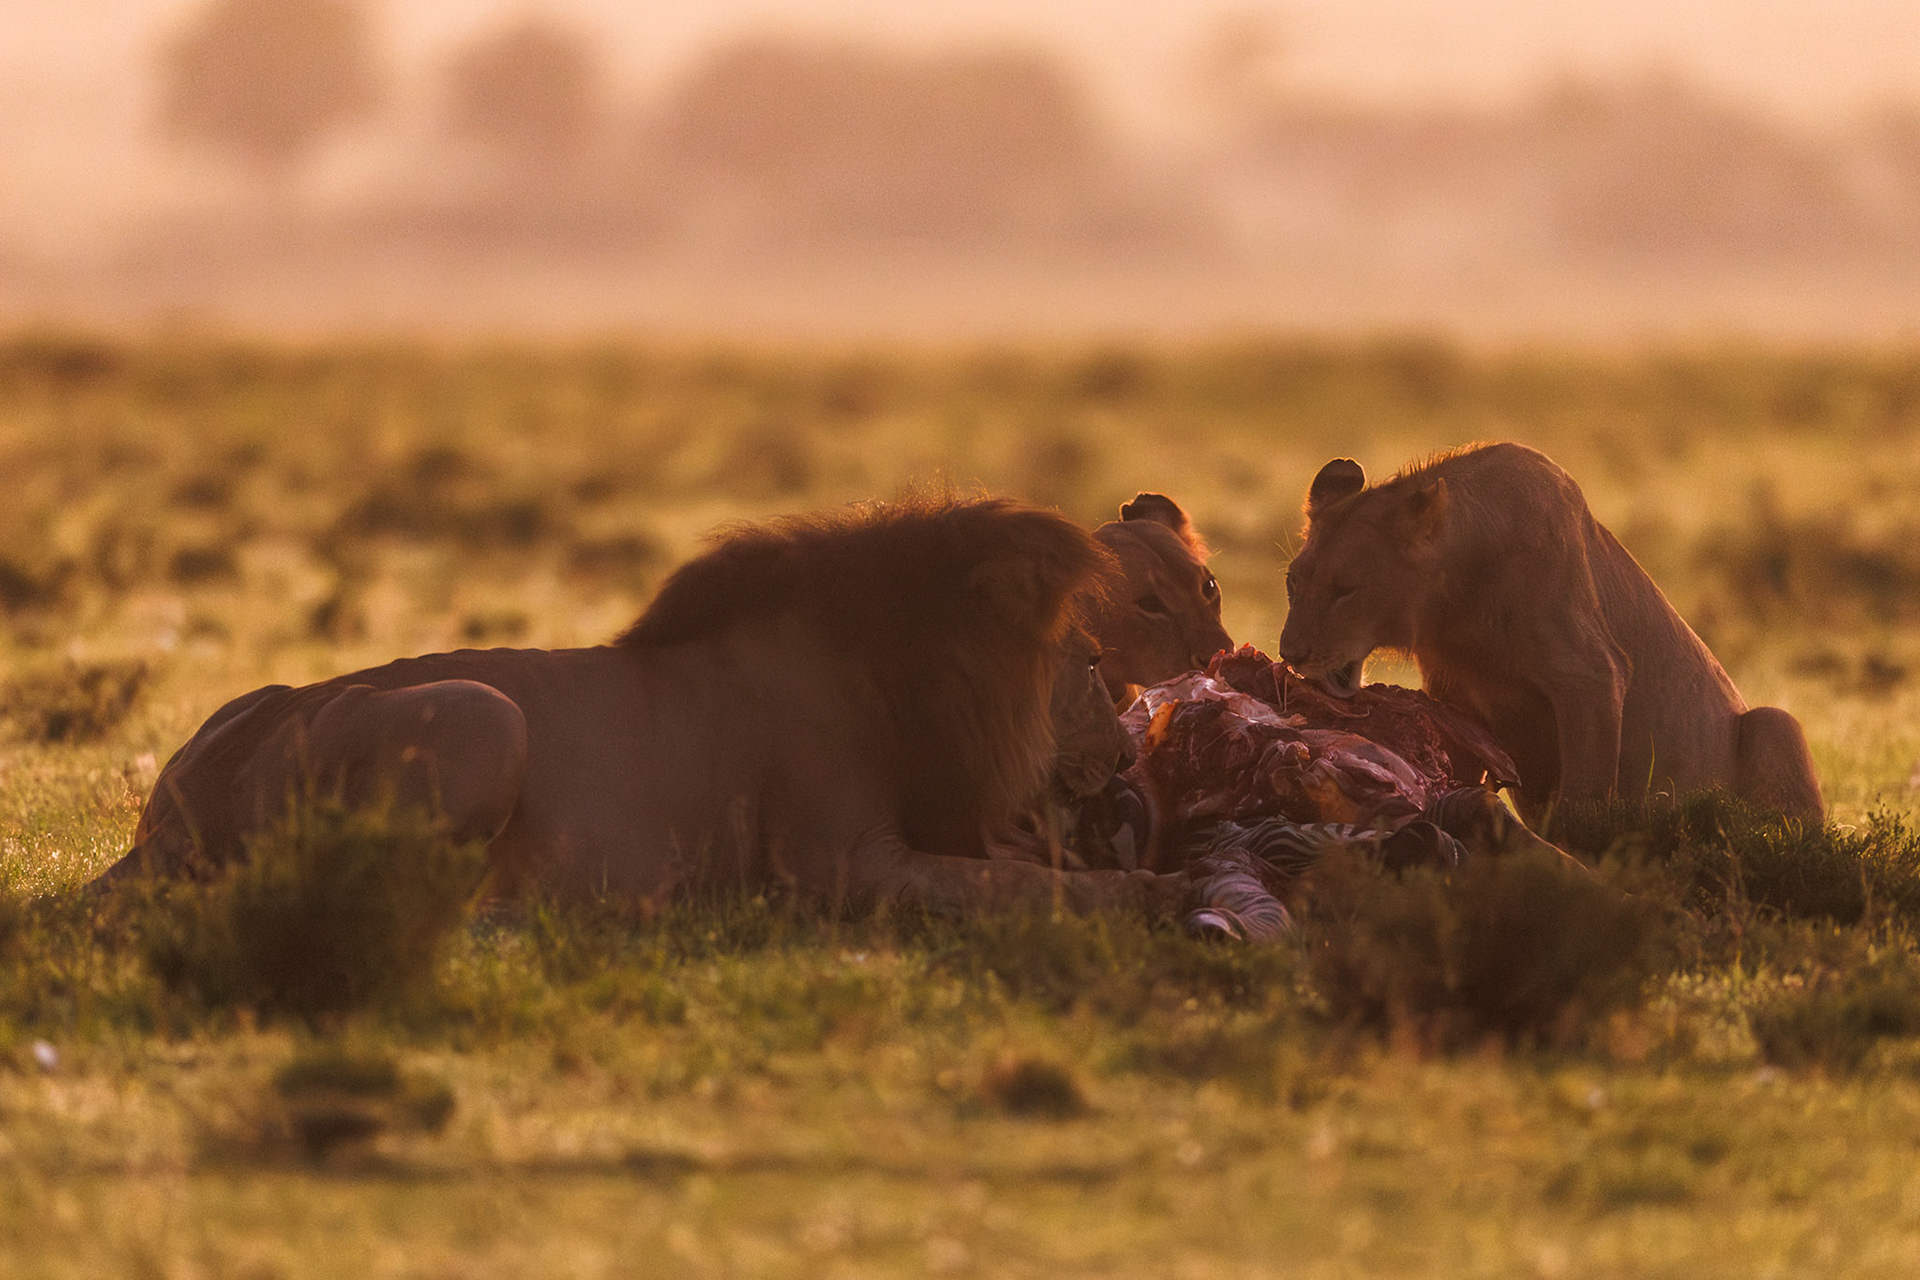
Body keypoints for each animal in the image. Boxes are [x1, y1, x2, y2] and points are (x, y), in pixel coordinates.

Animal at [94, 498, 1181, 916]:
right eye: (1090, 661)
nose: (1127, 756)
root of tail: (182, 804)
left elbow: (1025, 869)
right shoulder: (837, 861)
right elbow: (1026, 886)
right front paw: (1156, 893)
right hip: (488, 713)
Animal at [1276, 443, 1824, 822]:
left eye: (1346, 590)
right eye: (1293, 581)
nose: (1290, 652)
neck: (1453, 608)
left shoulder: (1593, 674)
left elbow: (1583, 800)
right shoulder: (1452, 695)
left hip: (1775, 723)